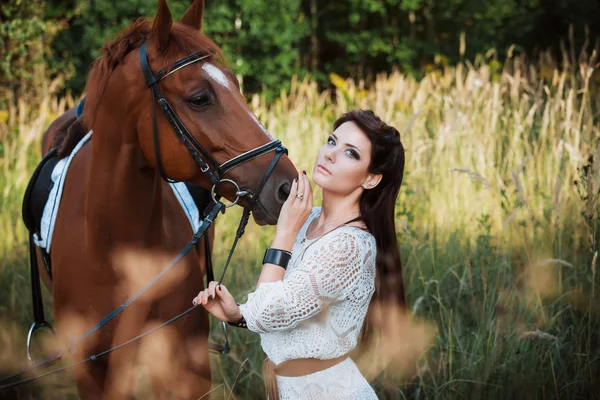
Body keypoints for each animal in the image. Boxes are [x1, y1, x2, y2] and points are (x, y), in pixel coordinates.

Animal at [30, 1, 298, 398]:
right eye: (199, 98)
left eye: (235, 86)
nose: (287, 185)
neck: (115, 247)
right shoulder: (91, 369)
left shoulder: (187, 363)